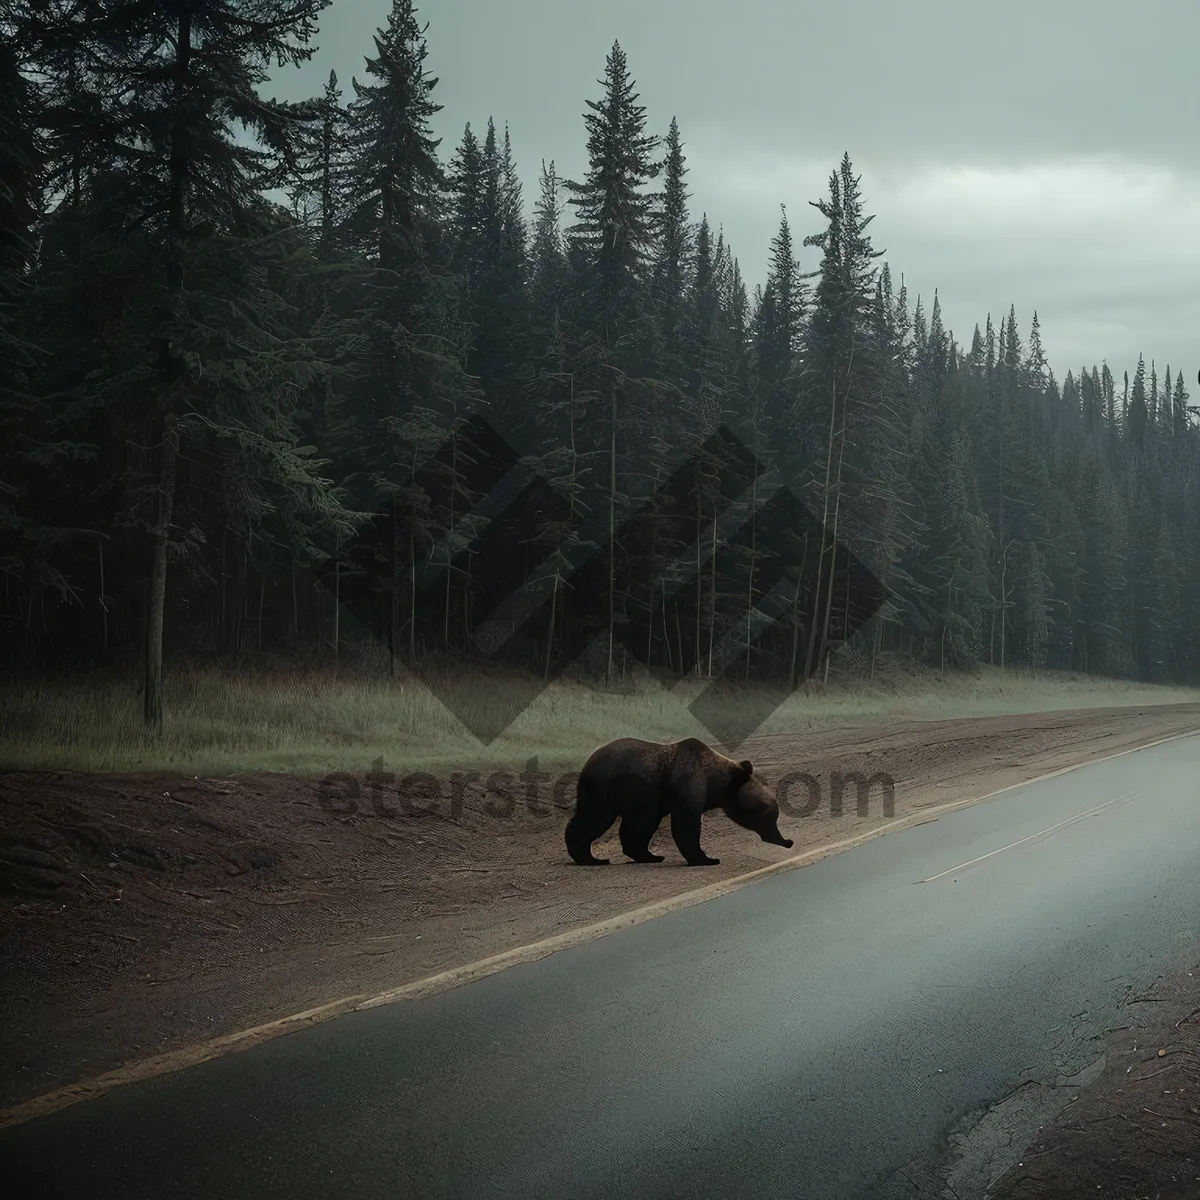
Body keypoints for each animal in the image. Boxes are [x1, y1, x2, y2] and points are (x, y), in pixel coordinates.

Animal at [564, 734, 796, 868]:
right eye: (768, 812)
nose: (787, 841)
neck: (715, 782)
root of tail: (589, 761)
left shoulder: (656, 801)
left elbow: (641, 828)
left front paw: (649, 854)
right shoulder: (688, 785)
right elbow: (686, 825)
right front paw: (707, 859)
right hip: (605, 788)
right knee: (594, 818)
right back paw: (591, 858)